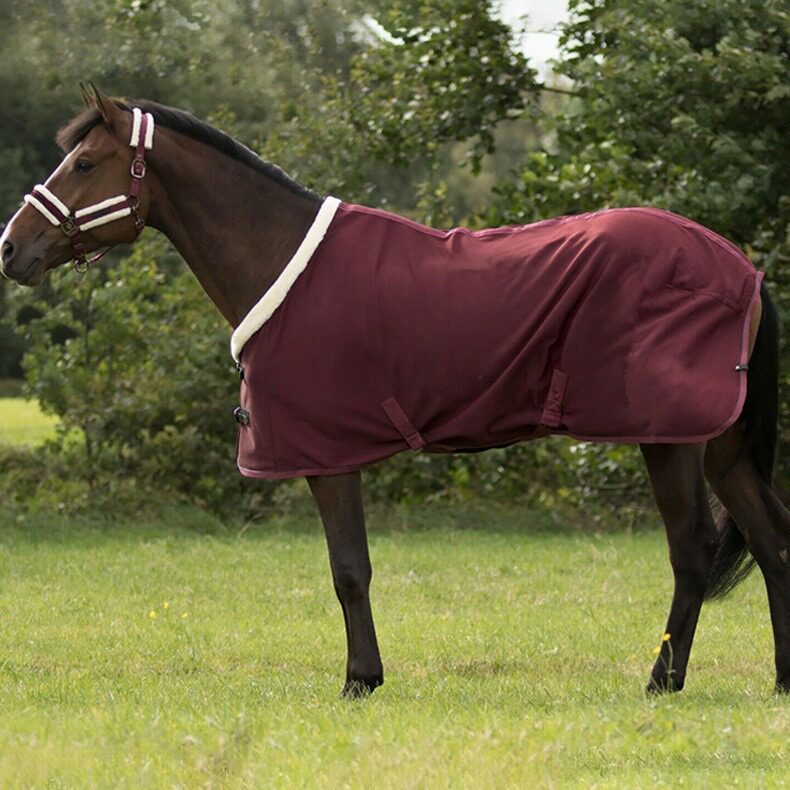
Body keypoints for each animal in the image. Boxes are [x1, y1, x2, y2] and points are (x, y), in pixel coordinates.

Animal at [1, 85, 787, 698]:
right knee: (773, 542)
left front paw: (360, 679)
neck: (280, 258)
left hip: (670, 438)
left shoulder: (326, 453)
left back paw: (661, 681)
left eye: (84, 163)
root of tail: (742, 269)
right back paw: (780, 681)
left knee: (691, 552)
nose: (10, 247)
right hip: (720, 447)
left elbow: (349, 570)